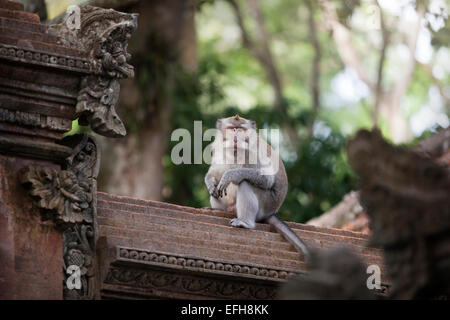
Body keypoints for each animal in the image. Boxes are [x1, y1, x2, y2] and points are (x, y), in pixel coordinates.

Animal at [204, 115, 310, 258]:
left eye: (241, 129)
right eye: (232, 128)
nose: (236, 135)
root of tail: (271, 212)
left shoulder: (253, 152)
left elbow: (266, 179)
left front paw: (230, 175)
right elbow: (215, 172)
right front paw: (210, 183)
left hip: (265, 204)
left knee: (245, 183)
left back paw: (245, 223)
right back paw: (218, 209)